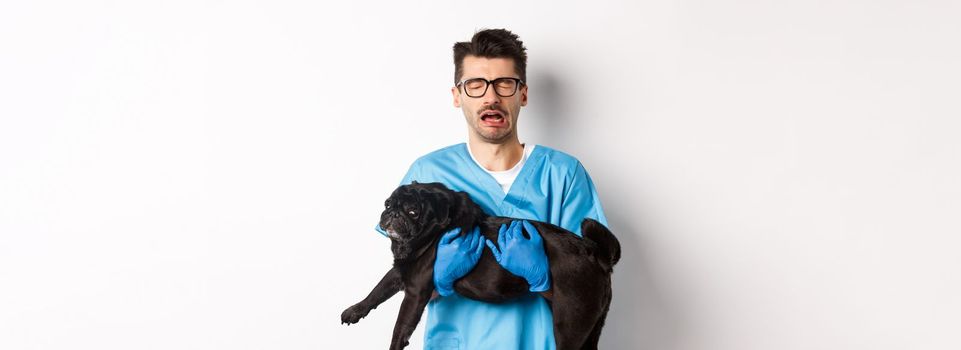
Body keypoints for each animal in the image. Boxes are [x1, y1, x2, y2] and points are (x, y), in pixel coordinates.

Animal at [342, 182, 620, 348]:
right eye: (388, 204)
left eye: (412, 212)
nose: (392, 214)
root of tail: (595, 254)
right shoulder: (402, 271)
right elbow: (378, 290)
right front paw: (355, 311)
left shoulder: (415, 292)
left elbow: (400, 328)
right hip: (591, 325)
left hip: (569, 322)